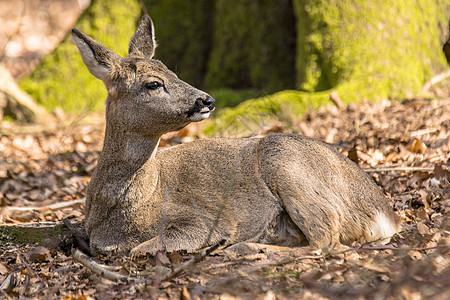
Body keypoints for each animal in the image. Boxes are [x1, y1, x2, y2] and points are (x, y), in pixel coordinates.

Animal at [72, 15, 400, 254]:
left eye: (175, 73)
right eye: (153, 83)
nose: (207, 100)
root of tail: (385, 215)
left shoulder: (201, 220)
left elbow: (138, 250)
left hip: (287, 165)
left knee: (326, 242)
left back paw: (242, 248)